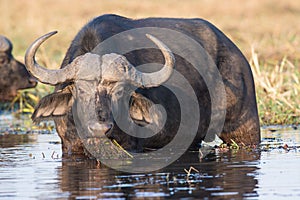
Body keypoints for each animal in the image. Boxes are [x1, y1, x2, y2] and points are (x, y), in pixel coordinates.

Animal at [25, 14, 260, 158]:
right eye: (81, 90)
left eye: (119, 92)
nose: (100, 128)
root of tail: (236, 54)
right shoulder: (70, 147)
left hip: (245, 128)